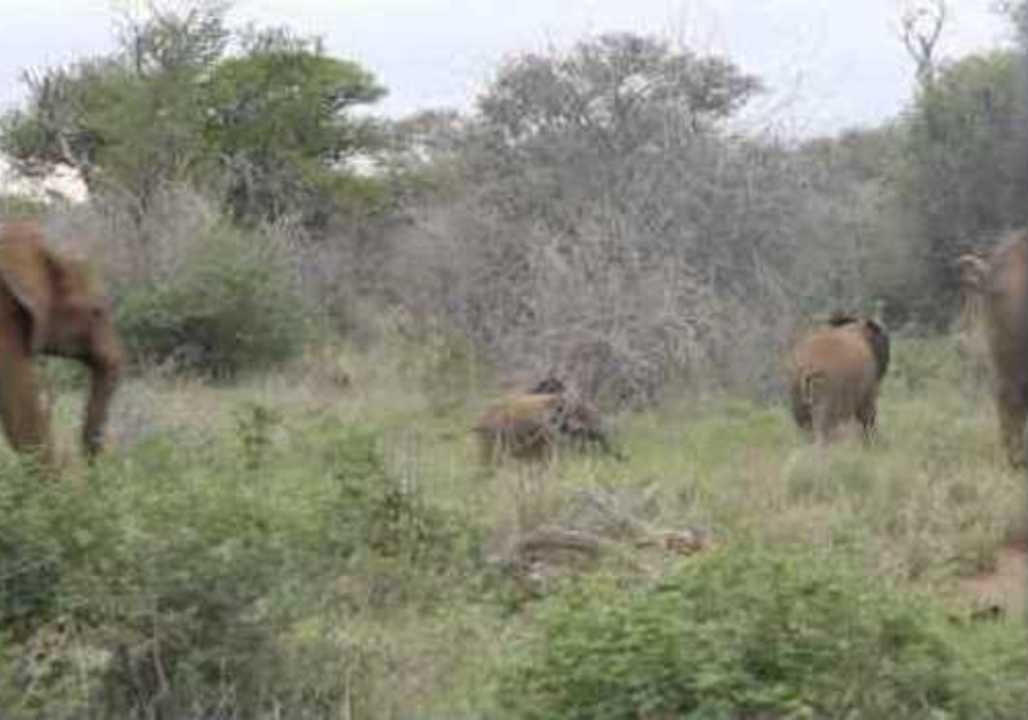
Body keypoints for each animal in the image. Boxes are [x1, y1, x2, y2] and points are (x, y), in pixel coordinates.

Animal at [787, 313, 891, 445]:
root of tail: (807, 366)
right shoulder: (867, 386)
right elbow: (867, 414)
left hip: (796, 390)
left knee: (804, 424)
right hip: (827, 389)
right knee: (823, 426)